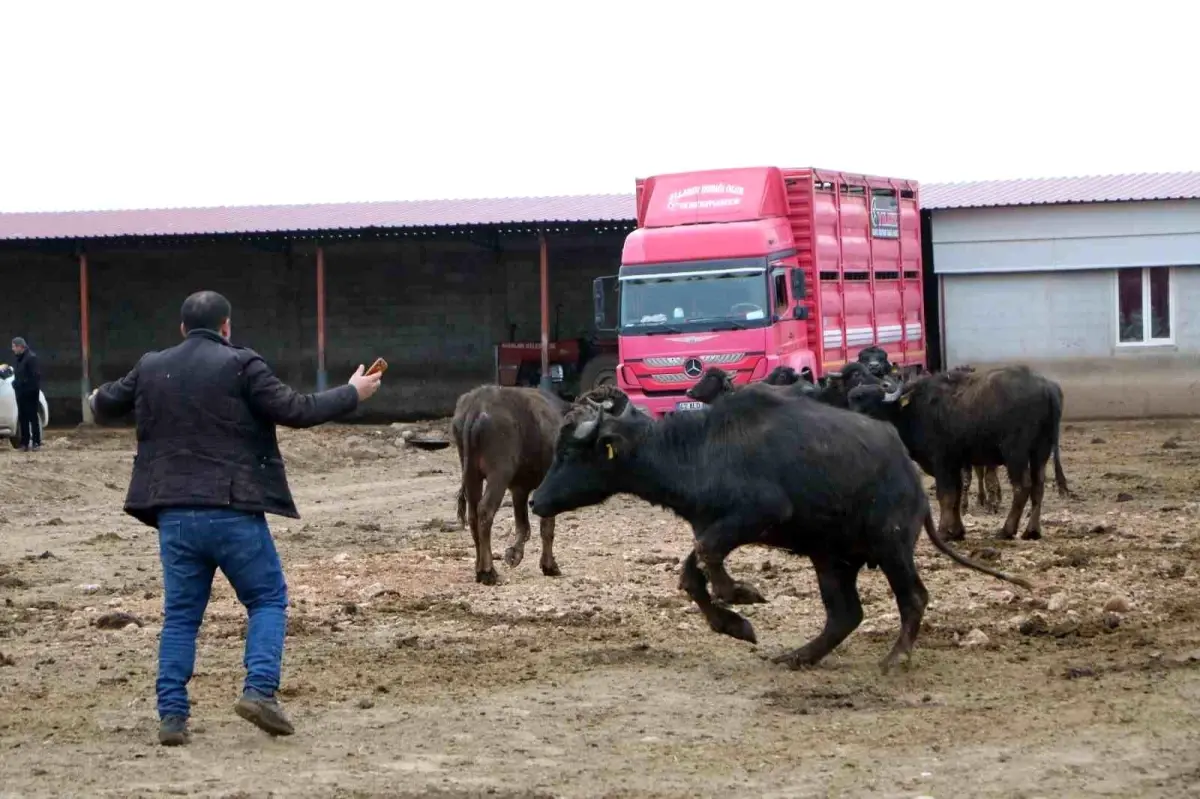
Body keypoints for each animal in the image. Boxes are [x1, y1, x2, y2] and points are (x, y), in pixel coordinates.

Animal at [530, 383, 1027, 667]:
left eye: (569, 453)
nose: (535, 500)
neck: (699, 449)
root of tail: (907, 471)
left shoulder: (760, 513)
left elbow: (707, 560)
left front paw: (740, 594)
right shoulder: (715, 523)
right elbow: (691, 573)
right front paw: (733, 624)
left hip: (891, 547)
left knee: (914, 598)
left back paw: (896, 657)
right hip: (832, 559)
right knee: (845, 614)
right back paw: (799, 656)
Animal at [844, 364, 1070, 542]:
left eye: (871, 405)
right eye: (852, 402)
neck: (912, 408)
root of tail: (1047, 388)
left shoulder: (941, 461)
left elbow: (946, 494)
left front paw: (944, 531)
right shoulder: (956, 462)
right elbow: (958, 493)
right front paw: (957, 531)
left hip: (1016, 453)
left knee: (1022, 487)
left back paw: (1006, 530)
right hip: (1041, 451)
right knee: (1039, 486)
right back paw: (1032, 531)